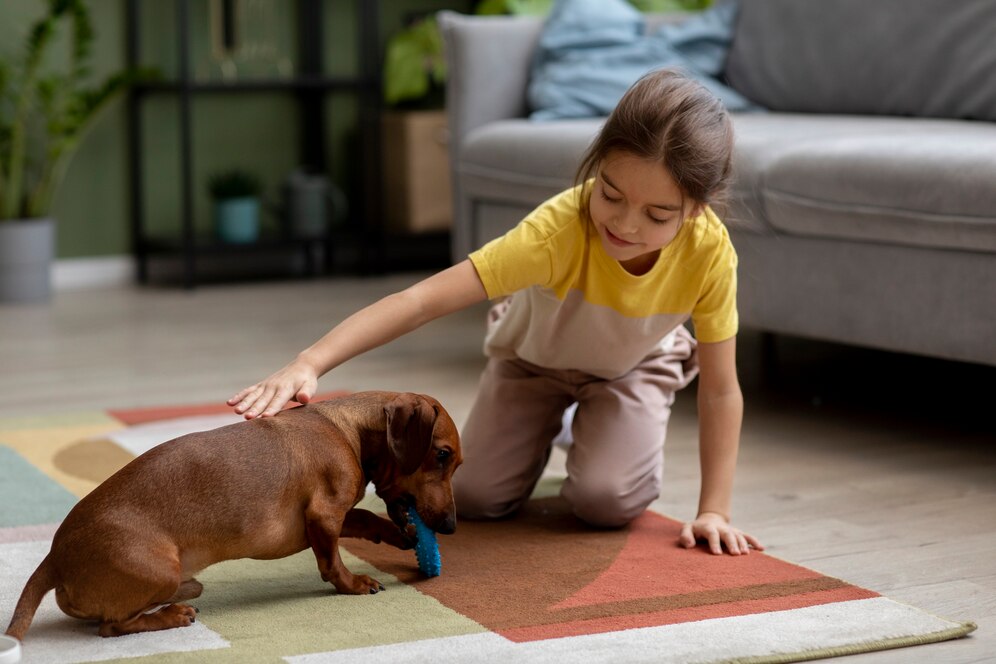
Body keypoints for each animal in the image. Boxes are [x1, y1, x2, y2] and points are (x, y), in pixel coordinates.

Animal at [3, 392, 462, 640]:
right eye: (442, 455)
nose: (450, 527)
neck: (346, 429)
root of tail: (54, 559)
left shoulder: (327, 519)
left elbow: (366, 518)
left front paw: (400, 533)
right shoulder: (324, 516)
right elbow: (332, 563)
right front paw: (355, 584)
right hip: (160, 570)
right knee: (112, 626)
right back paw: (172, 613)